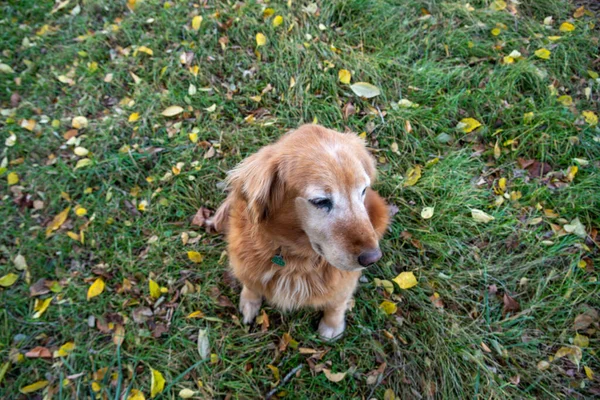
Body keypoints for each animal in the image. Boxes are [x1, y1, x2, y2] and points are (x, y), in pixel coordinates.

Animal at [211, 123, 390, 340]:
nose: (372, 258)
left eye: (363, 190)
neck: (296, 258)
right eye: (321, 201)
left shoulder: (344, 282)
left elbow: (338, 302)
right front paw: (249, 303)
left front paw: (332, 326)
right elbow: (251, 285)